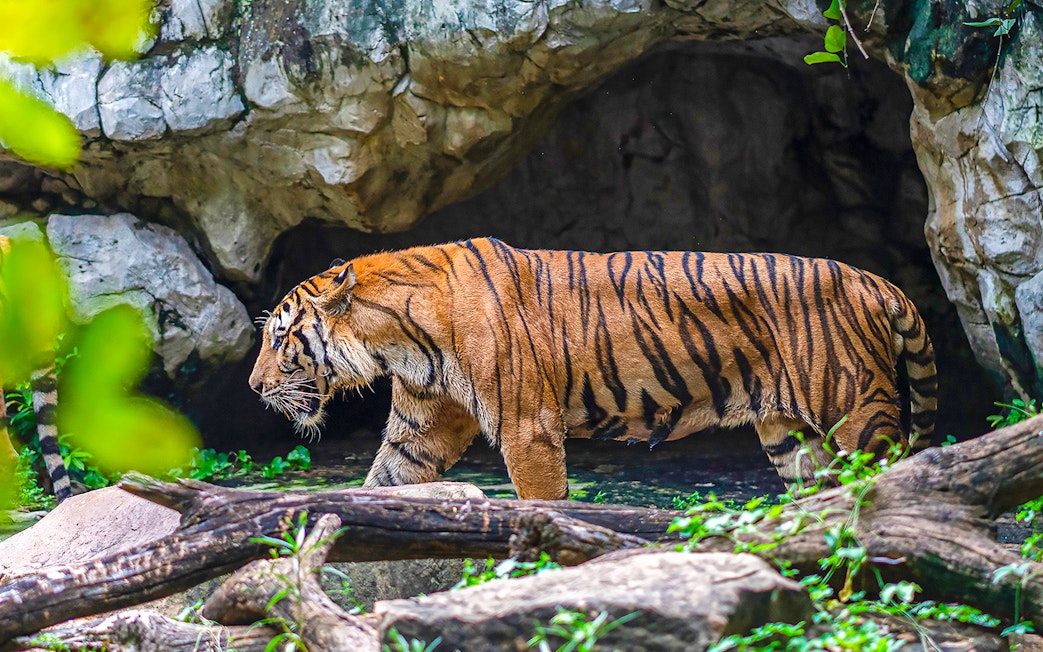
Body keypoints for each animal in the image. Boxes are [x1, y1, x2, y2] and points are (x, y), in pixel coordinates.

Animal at [249, 238, 937, 500]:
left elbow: (541, 501)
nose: (254, 387)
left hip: (857, 414)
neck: (397, 340)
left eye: (281, 337)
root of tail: (873, 280)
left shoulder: (527, 426)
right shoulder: (423, 428)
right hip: (789, 436)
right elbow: (384, 482)